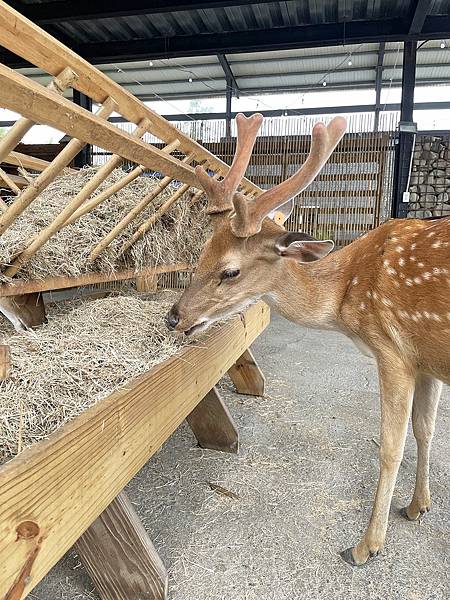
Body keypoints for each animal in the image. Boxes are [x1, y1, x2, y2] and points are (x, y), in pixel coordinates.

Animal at [167, 113, 448, 568]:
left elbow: (391, 447)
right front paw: (417, 506)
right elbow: (426, 430)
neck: (347, 297)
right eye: (201, 252)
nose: (174, 316)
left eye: (230, 271)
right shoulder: (427, 358)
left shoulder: (393, 349)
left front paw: (366, 546)